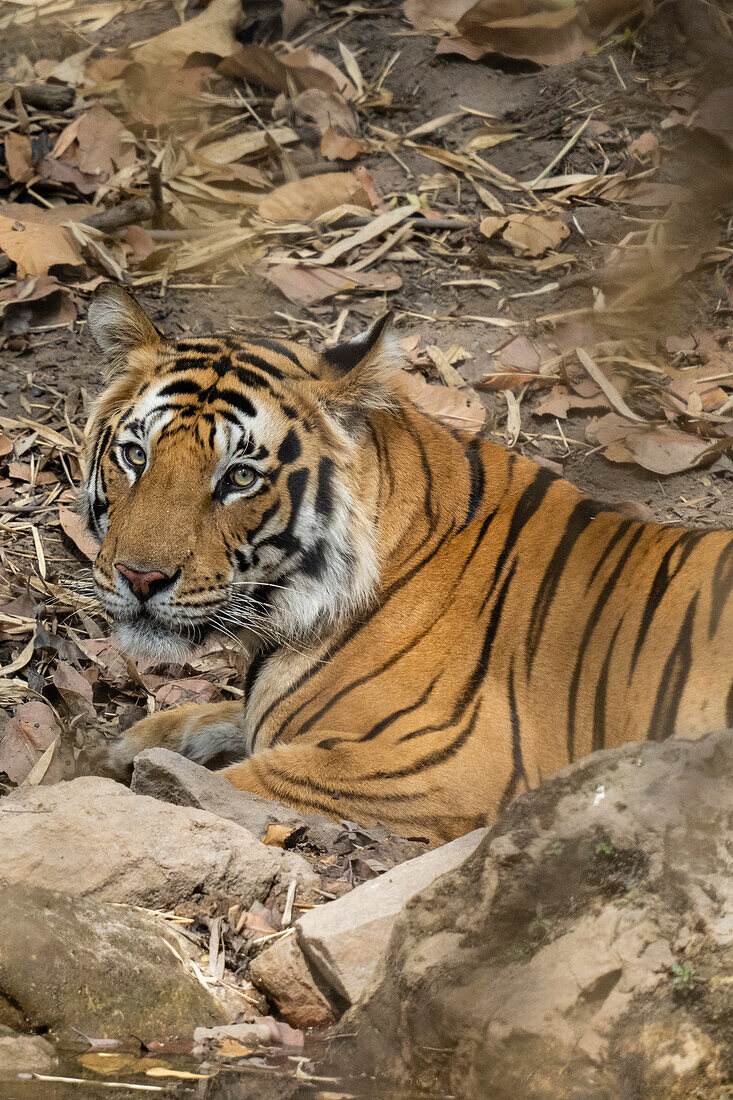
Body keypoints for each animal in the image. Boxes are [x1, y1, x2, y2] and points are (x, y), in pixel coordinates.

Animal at [79, 281, 730, 840]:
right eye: (135, 456)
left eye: (240, 477)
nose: (139, 577)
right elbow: (206, 719)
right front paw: (113, 751)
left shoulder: (442, 765)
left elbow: (230, 784)